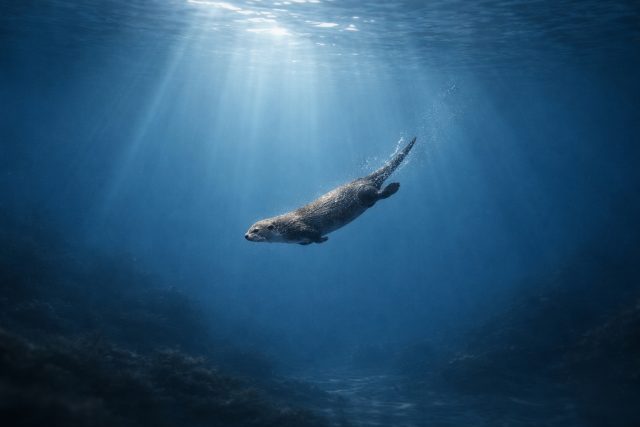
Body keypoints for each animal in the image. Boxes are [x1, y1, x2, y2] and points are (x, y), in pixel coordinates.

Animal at [245, 137, 416, 245]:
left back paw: (393, 187)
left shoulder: (300, 226)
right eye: (249, 228)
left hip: (361, 192)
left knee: (375, 194)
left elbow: (314, 234)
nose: (245, 235)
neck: (285, 228)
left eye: (256, 230)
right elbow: (308, 241)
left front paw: (323, 239)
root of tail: (365, 179)